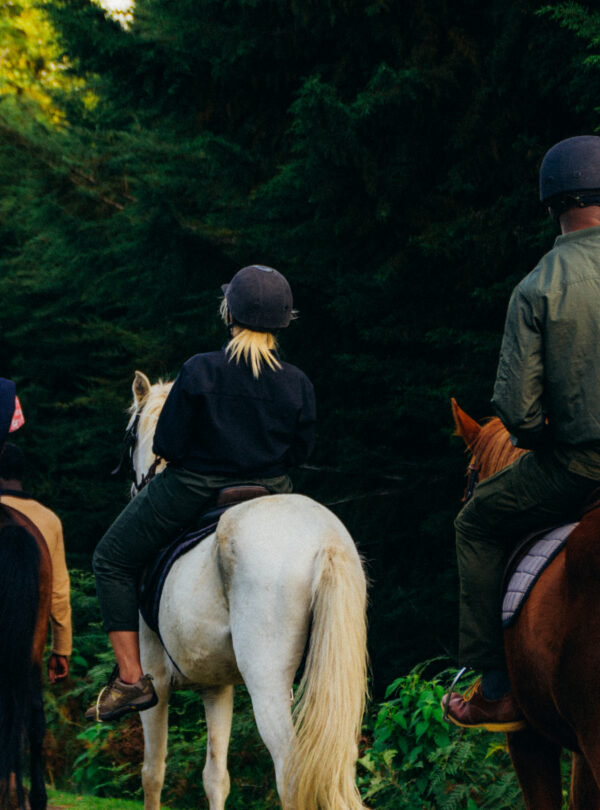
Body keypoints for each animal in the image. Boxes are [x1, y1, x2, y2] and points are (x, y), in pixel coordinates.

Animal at [126, 371, 369, 810]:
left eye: (131, 435)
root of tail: (324, 540)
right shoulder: (216, 686)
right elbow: (215, 777)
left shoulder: (153, 680)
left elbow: (152, 773)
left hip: (267, 683)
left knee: (290, 771)